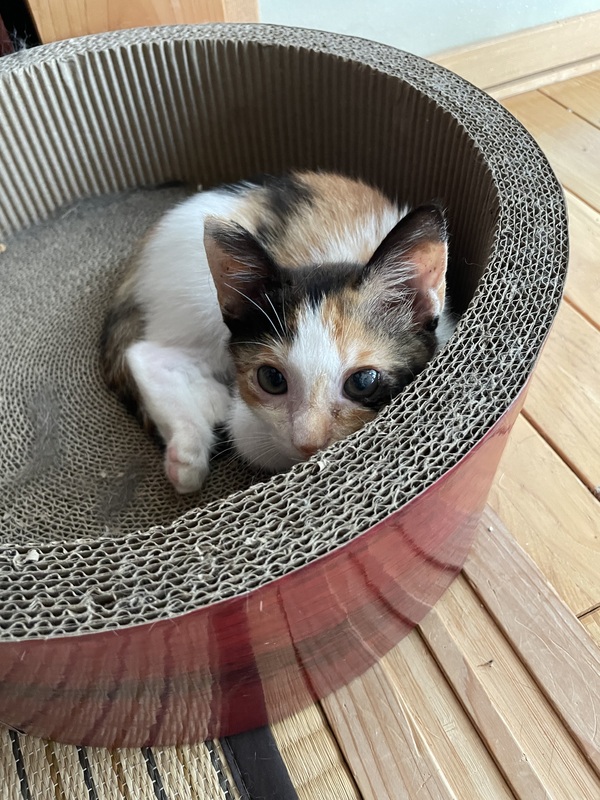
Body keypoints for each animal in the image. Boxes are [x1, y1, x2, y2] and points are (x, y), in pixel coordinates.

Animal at [101, 171, 455, 494]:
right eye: (272, 379)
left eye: (363, 382)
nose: (309, 443)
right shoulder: (252, 427)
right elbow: (249, 437)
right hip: (196, 302)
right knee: (144, 353)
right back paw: (189, 448)